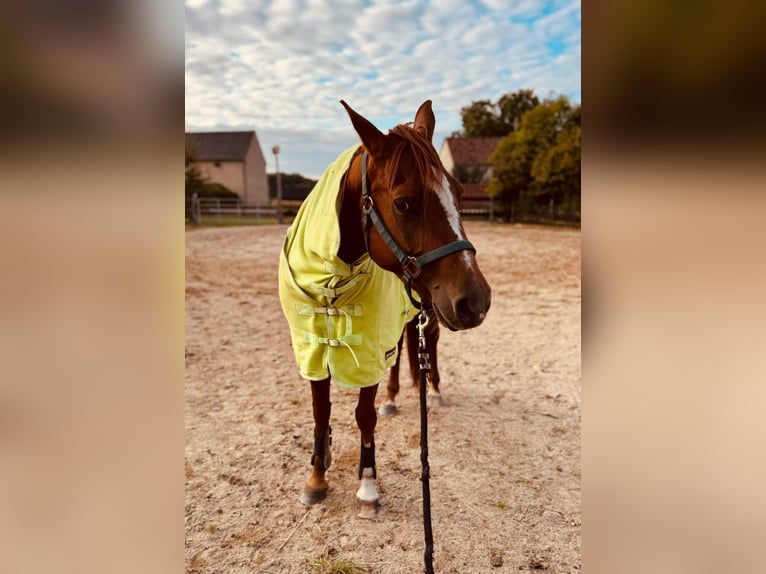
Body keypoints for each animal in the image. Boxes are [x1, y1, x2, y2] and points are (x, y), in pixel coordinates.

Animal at [278, 99, 491, 518]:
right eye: (403, 202)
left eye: (459, 194)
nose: (477, 301)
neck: (331, 282)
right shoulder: (310, 347)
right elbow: (320, 411)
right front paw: (317, 476)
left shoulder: (367, 351)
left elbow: (364, 415)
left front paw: (367, 486)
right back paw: (393, 397)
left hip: (428, 312)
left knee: (429, 344)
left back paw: (433, 391)